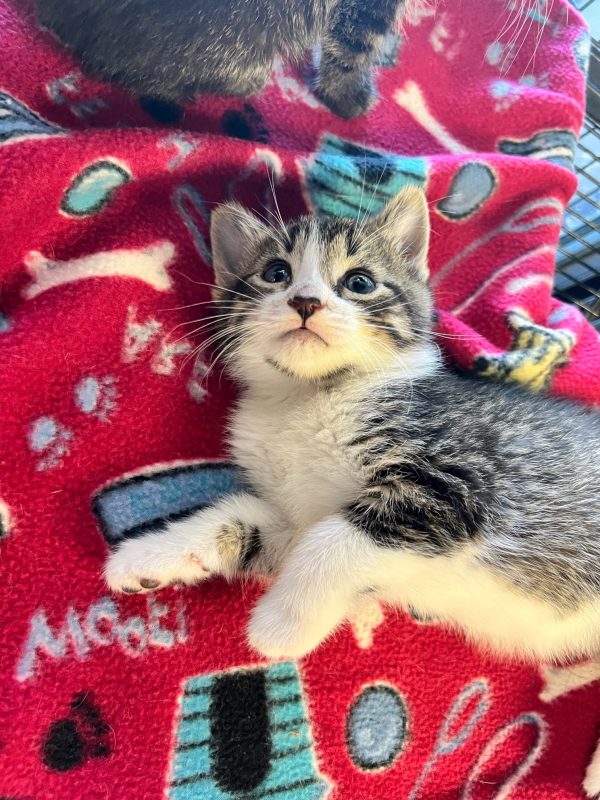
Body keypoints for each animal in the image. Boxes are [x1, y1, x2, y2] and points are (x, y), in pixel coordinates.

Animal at [104, 187, 600, 796]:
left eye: (359, 282)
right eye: (276, 273)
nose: (305, 301)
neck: (309, 398)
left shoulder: (455, 481)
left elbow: (335, 538)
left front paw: (280, 625)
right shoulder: (292, 513)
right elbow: (245, 518)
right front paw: (149, 555)